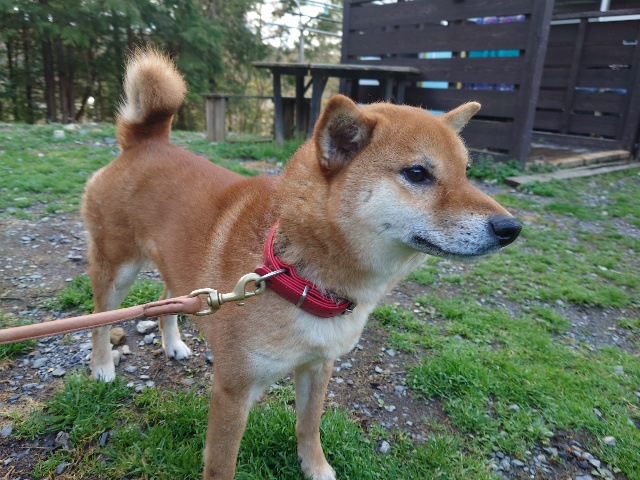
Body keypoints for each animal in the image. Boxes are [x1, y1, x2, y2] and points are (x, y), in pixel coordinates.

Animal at [81, 48, 521, 480]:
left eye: (467, 173)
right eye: (417, 173)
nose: (511, 228)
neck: (297, 275)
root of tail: (145, 142)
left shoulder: (318, 365)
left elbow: (309, 426)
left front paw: (316, 467)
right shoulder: (233, 391)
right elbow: (222, 463)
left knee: (166, 301)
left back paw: (173, 344)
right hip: (116, 270)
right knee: (99, 320)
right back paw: (102, 367)